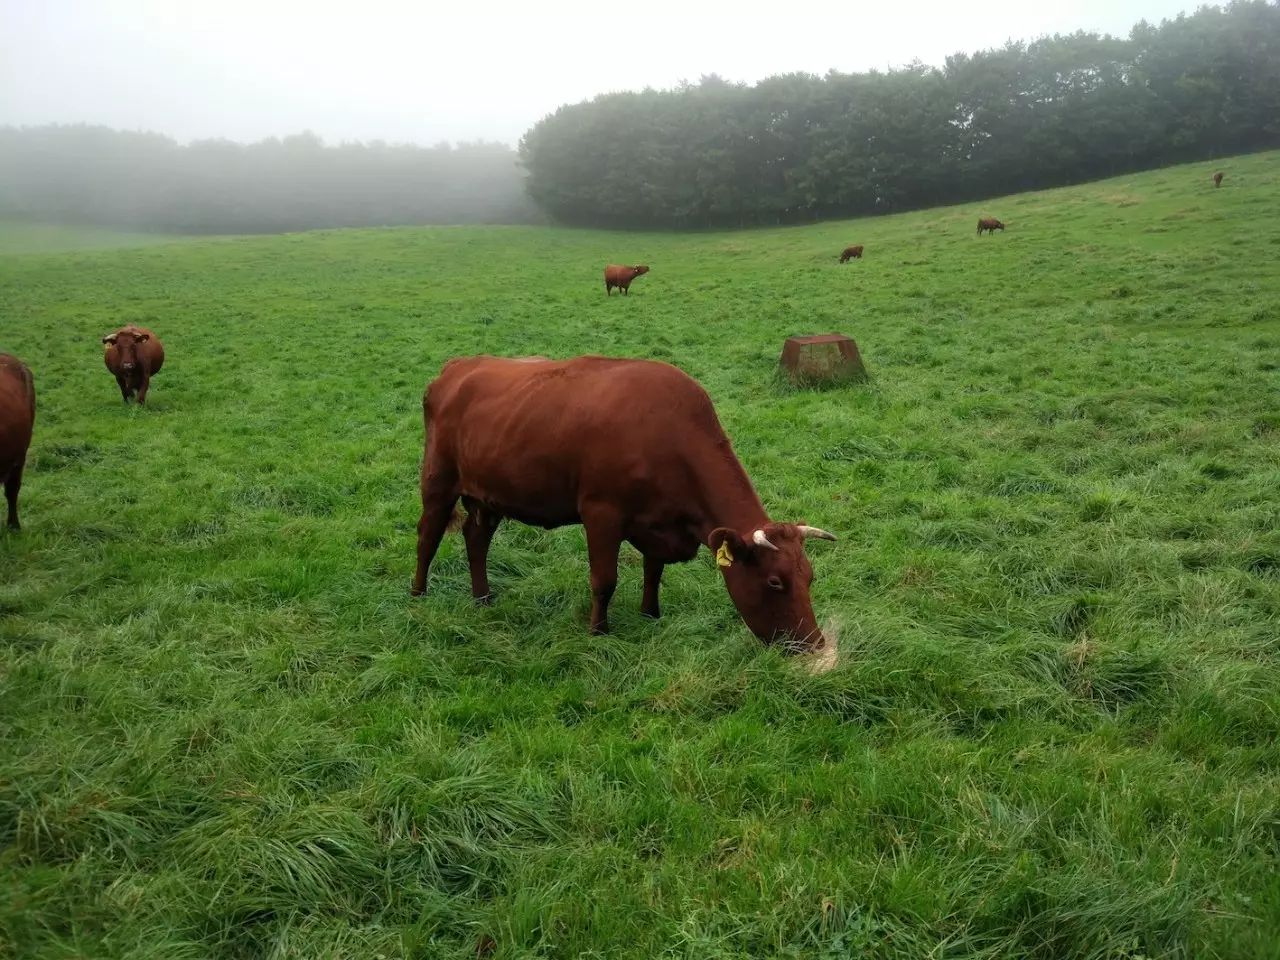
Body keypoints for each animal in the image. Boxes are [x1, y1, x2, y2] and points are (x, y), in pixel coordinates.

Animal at [409, 358, 844, 660]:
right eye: (774, 582)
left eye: (810, 577)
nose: (813, 645)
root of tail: (458, 366)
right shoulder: (601, 514)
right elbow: (605, 580)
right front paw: (598, 633)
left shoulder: (658, 523)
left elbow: (654, 571)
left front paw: (651, 613)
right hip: (438, 480)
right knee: (428, 534)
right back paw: (418, 594)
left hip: (490, 494)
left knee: (475, 537)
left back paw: (482, 597)